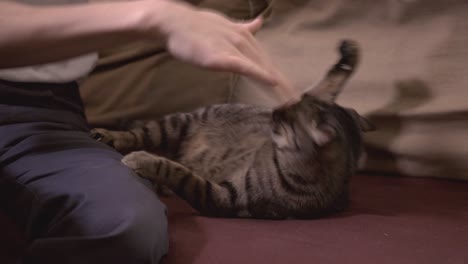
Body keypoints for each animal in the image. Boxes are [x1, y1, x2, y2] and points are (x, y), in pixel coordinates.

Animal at [91, 39, 374, 219]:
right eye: (290, 103)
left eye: (285, 118)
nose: (275, 110)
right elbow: (330, 83)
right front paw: (349, 55)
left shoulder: (224, 199)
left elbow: (179, 173)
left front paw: (143, 160)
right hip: (174, 124)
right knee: (135, 134)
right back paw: (106, 135)